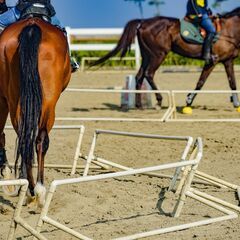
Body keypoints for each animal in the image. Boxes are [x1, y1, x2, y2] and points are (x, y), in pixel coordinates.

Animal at [0, 18, 71, 206]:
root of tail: (32, 27)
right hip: (46, 103)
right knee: (39, 140)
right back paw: (35, 190)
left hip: (14, 100)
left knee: (22, 138)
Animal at [91, 7, 240, 110]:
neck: (229, 30)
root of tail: (143, 22)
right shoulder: (212, 62)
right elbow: (201, 82)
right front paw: (188, 101)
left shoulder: (228, 61)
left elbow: (232, 83)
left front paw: (236, 104)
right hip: (159, 55)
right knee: (149, 74)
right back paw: (159, 101)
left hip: (147, 56)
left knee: (139, 76)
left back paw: (139, 105)